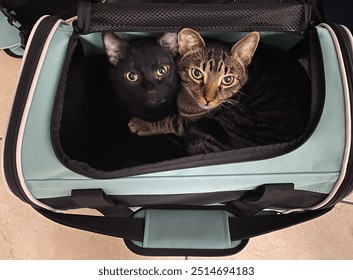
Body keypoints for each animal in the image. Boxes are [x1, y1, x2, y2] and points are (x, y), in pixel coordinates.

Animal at [128, 27, 310, 155]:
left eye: (227, 80)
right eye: (197, 74)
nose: (208, 99)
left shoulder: (189, 122)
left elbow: (171, 121)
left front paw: (142, 124)